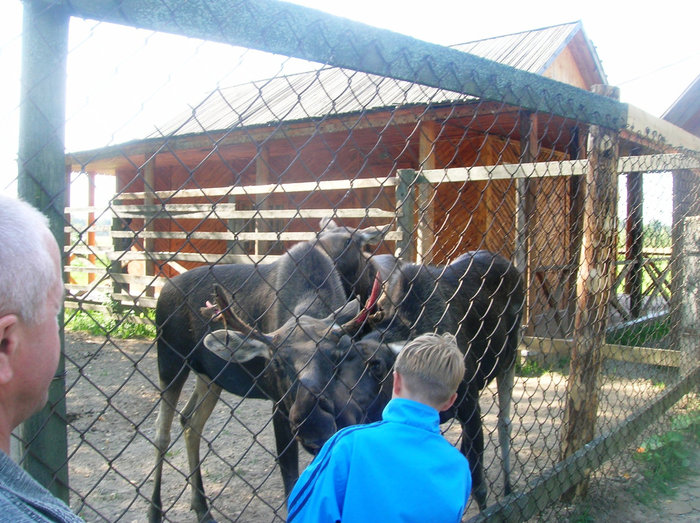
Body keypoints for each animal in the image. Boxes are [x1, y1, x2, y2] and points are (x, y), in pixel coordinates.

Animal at [148, 221, 388, 523]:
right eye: (276, 364)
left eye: (336, 357)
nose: (312, 424)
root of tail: (163, 290)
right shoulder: (278, 405)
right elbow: (290, 483)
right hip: (170, 360)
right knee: (161, 432)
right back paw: (155, 511)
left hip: (209, 377)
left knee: (191, 421)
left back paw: (202, 507)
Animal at [205, 250, 524, 512]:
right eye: (276, 364)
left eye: (376, 365)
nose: (313, 421)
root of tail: (511, 265)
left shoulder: (470, 406)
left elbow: (479, 486)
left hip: (509, 360)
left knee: (505, 422)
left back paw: (510, 485)